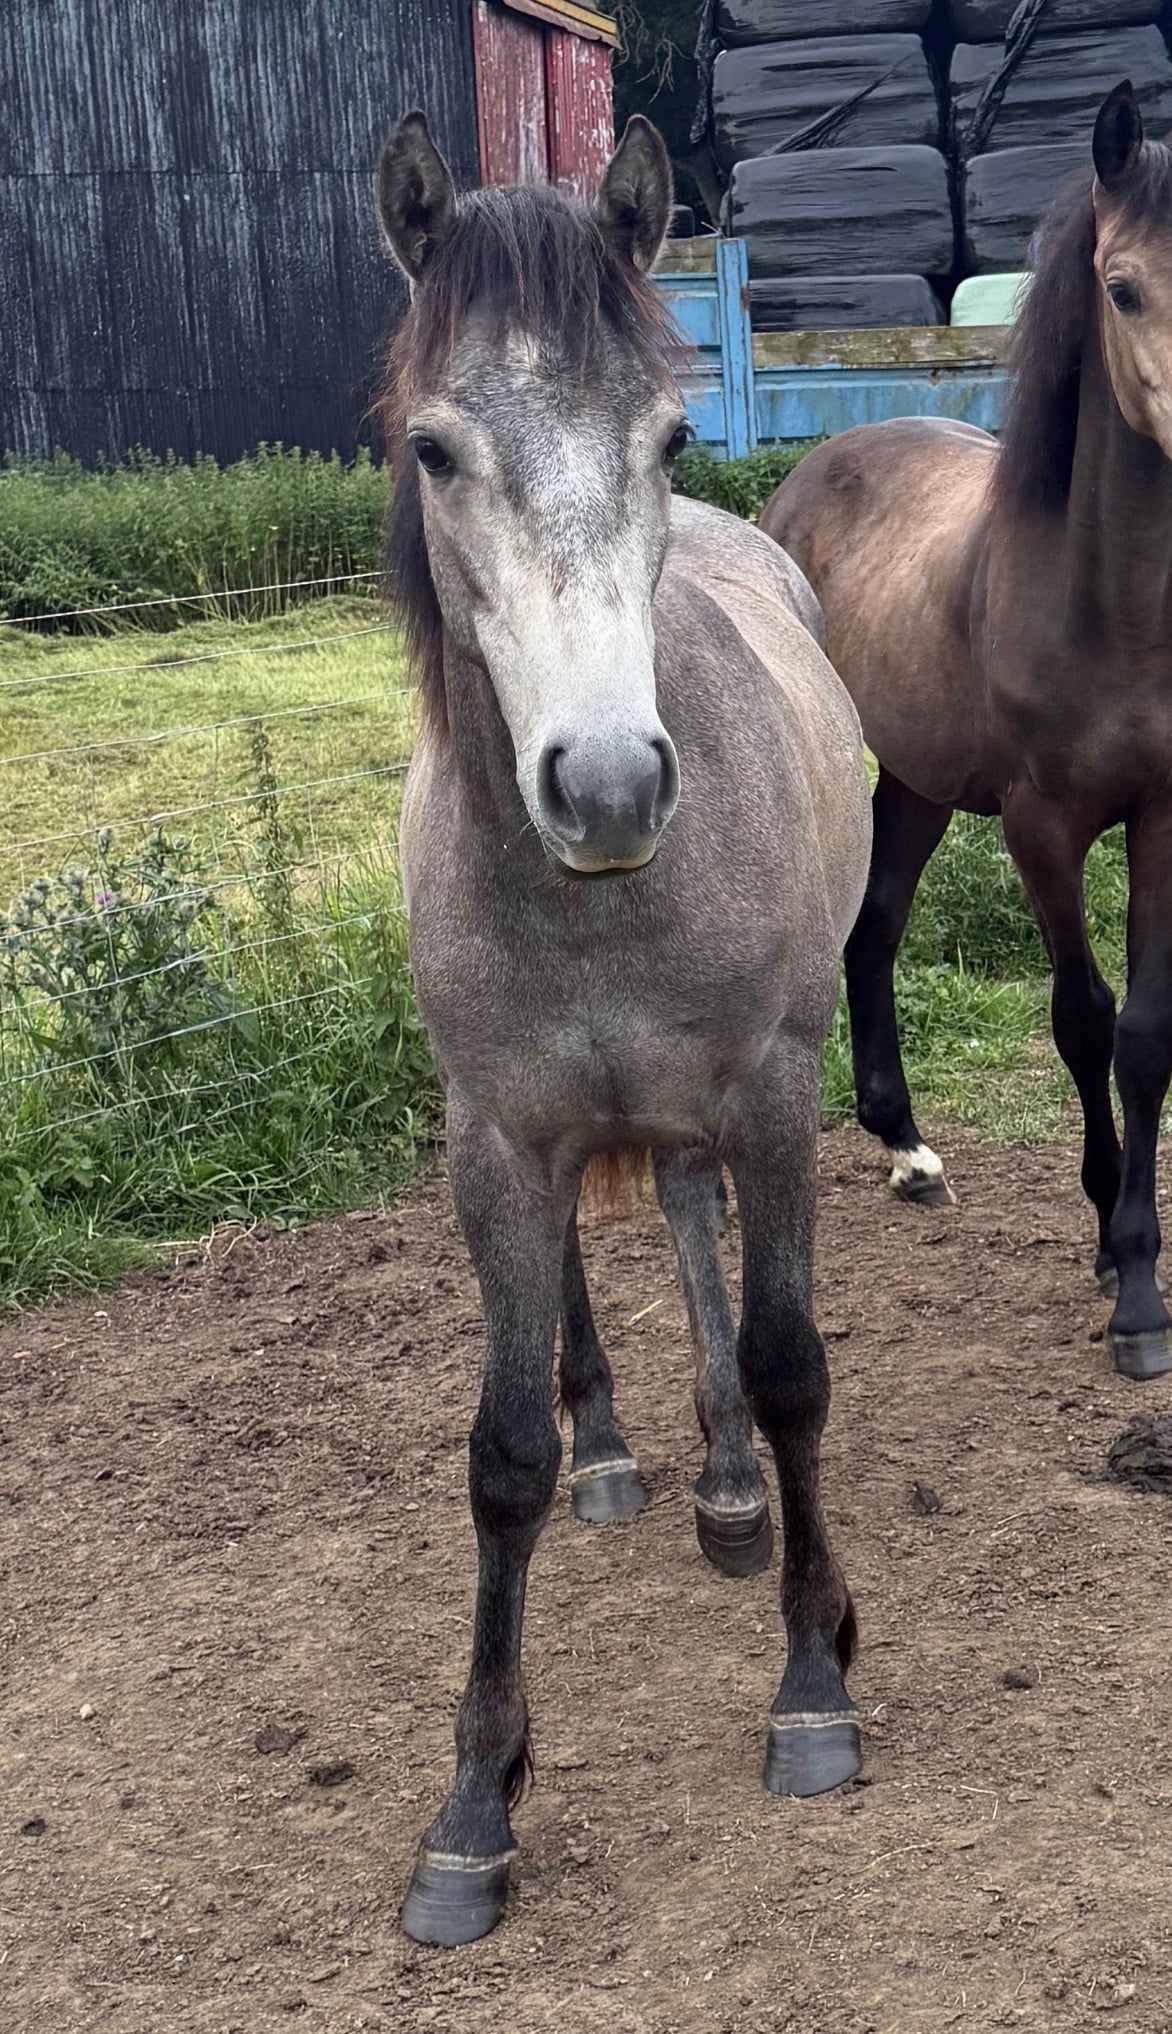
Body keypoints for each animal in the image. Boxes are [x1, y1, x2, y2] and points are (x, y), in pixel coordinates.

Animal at [376, 111, 872, 1943]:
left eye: (664, 434)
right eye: (435, 448)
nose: (602, 784)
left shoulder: (776, 1089)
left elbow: (794, 1363)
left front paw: (812, 1680)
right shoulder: (496, 1136)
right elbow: (500, 1454)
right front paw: (472, 1807)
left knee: (687, 1212)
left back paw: (732, 1487)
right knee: (627, 1240)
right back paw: (631, 1447)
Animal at [761, 81, 1172, 1385]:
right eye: (1121, 287)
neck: (1108, 605)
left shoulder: (1161, 817)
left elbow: (1142, 1031)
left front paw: (1135, 1263)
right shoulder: (1043, 827)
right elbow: (1079, 1019)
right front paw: (1118, 1271)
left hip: (917, 783)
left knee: (874, 930)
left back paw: (907, 1151)